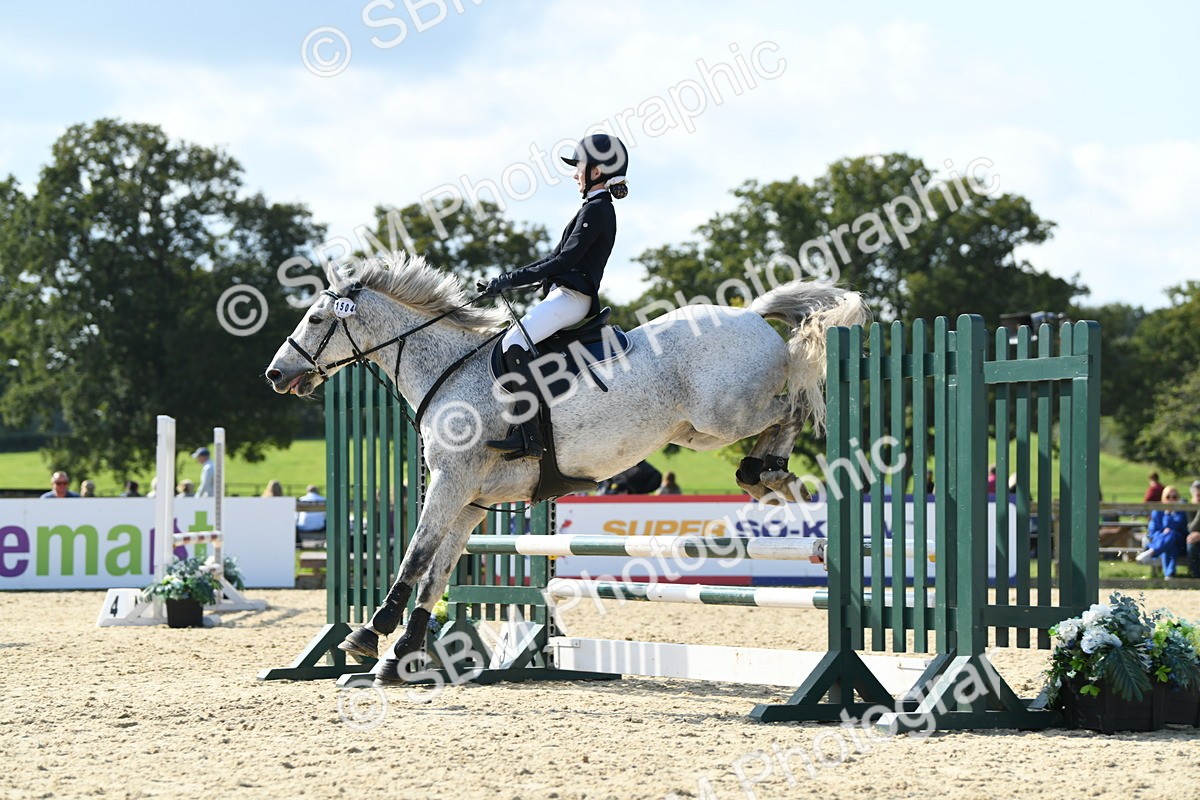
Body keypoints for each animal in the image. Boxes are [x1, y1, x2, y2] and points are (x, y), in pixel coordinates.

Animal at [265, 252, 869, 683]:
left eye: (315, 318)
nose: (275, 374)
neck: (448, 367)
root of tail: (749, 313)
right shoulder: (471, 500)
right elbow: (436, 573)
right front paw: (403, 655)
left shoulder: (450, 483)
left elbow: (415, 556)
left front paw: (369, 635)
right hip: (697, 430)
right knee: (783, 411)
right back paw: (764, 474)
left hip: (722, 415)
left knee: (792, 406)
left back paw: (768, 472)